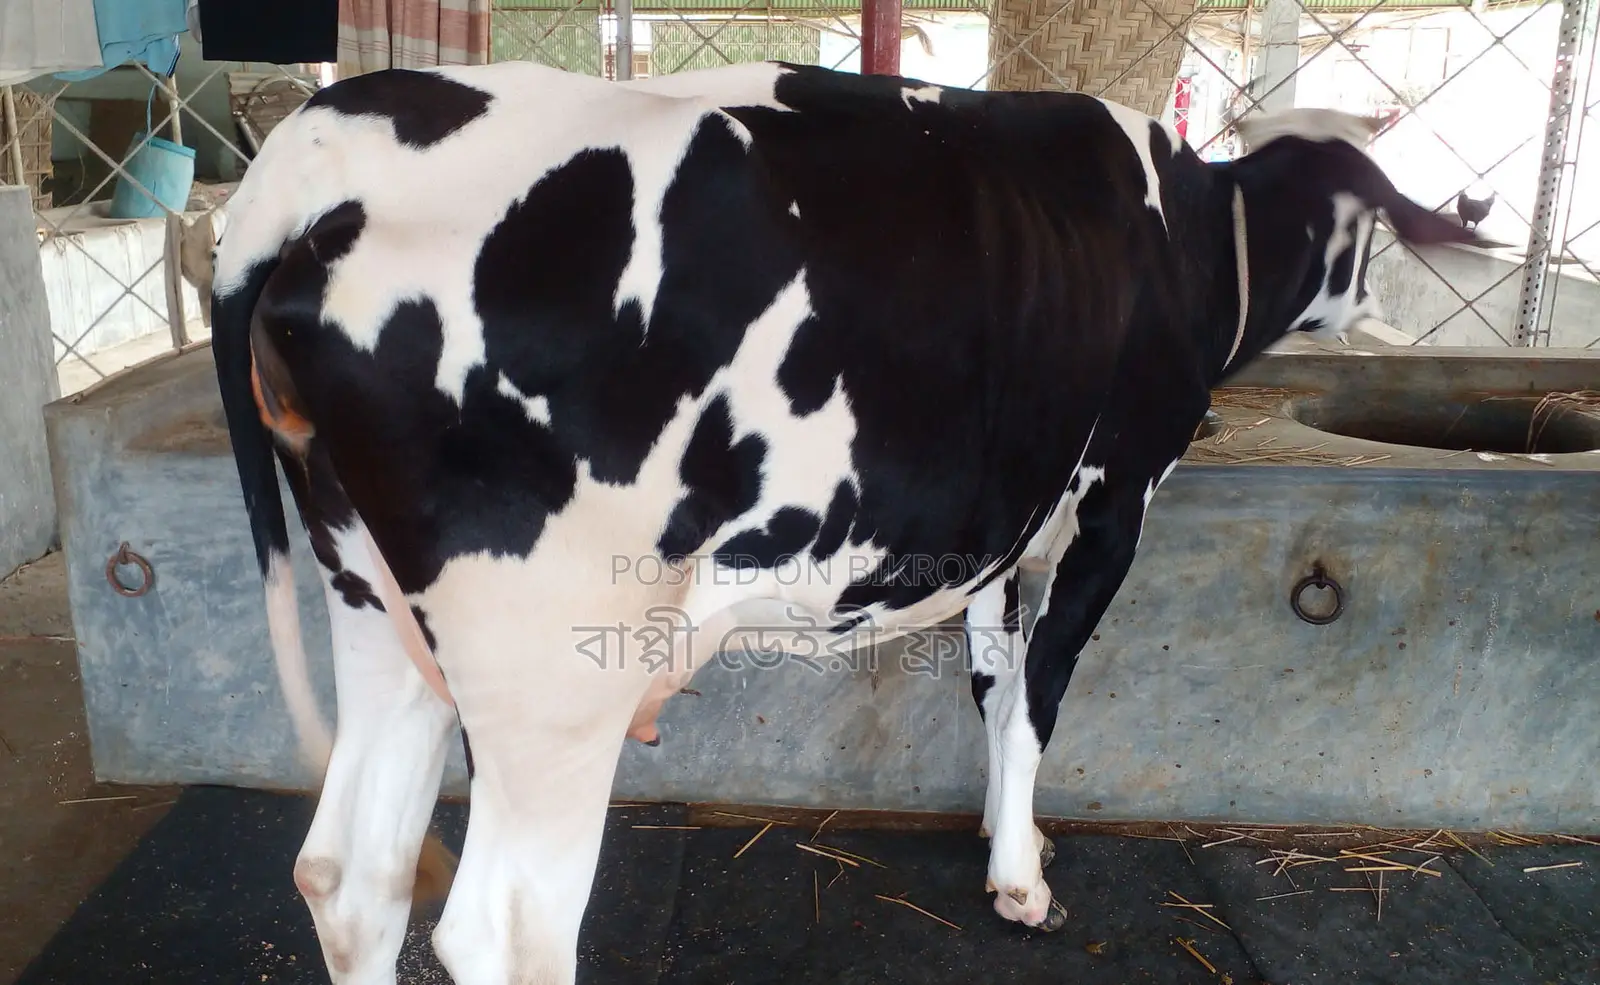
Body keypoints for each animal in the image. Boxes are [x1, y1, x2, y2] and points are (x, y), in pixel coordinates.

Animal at [208, 58, 1481, 985]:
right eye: (1369, 228)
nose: (1369, 306)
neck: (1193, 239)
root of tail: (330, 141)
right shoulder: (1113, 501)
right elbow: (1043, 691)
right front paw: (1023, 882)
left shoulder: (996, 524)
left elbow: (991, 681)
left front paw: (1000, 834)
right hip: (550, 665)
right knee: (504, 928)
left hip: (374, 604)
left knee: (351, 875)